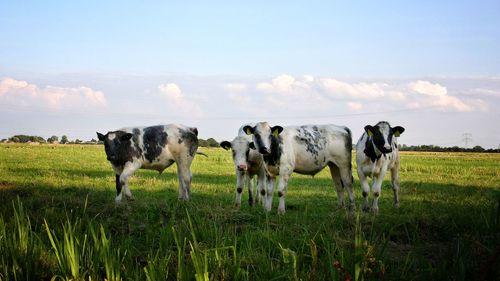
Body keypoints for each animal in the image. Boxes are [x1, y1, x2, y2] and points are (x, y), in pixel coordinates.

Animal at [0, 143, 498, 278]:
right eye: (235, 151)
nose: (242, 161)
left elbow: (268, 192)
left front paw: (268, 210)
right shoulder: (253, 170)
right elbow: (248, 190)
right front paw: (248, 207)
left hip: (366, 169)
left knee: (374, 188)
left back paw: (375, 207)